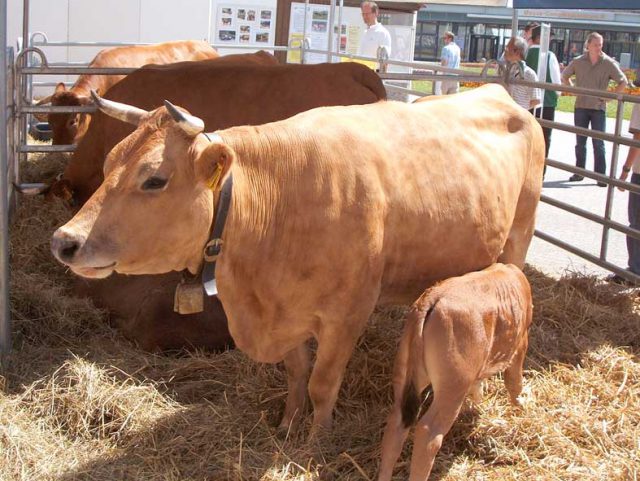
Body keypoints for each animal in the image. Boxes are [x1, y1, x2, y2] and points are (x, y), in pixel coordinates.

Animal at [50, 83, 544, 436]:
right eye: (109, 162)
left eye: (154, 179)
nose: (64, 241)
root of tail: (498, 93)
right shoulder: (285, 313)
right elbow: (295, 374)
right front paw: (288, 426)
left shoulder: (348, 314)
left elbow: (323, 383)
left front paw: (314, 441)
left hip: (519, 236)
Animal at [378, 262, 532, 480]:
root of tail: (432, 298)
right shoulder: (521, 342)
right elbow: (514, 381)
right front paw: (520, 404)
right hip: (452, 388)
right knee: (428, 434)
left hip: (405, 372)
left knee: (396, 424)